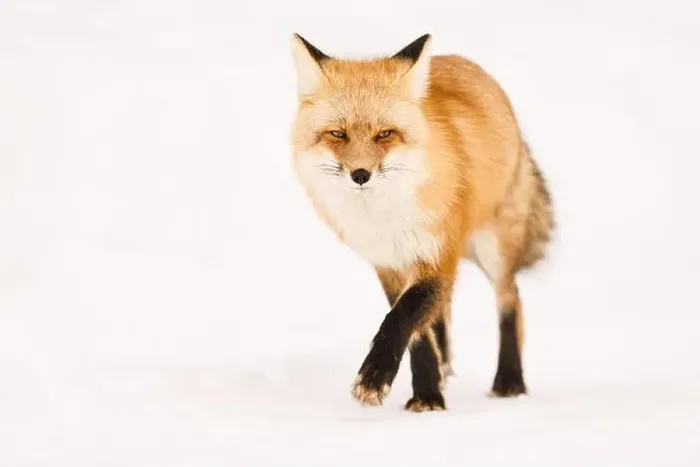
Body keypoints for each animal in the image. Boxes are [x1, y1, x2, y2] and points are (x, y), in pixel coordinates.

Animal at [289, 32, 555, 412]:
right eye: (337, 134)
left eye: (385, 134)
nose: (360, 175)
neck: (384, 217)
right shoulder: (388, 263)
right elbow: (416, 328)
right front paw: (428, 393)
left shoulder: (439, 252)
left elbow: (402, 316)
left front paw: (377, 377)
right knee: (443, 314)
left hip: (492, 249)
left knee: (510, 299)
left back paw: (509, 381)